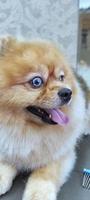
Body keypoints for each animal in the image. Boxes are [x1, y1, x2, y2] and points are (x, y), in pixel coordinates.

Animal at [0, 36, 88, 199]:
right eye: (37, 82)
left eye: (61, 78)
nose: (67, 92)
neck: (27, 130)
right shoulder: (8, 147)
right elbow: (5, 164)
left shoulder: (61, 154)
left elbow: (45, 174)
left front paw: (38, 194)